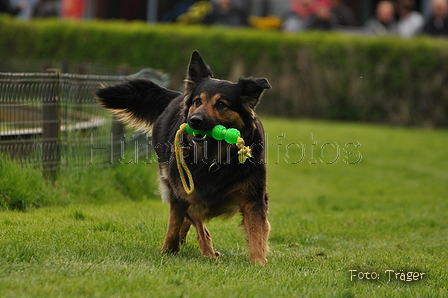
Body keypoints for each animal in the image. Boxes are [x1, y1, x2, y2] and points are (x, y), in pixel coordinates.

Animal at [96, 50, 272, 264]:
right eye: (197, 101)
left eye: (221, 104)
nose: (194, 120)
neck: (213, 158)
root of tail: (178, 95)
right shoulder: (181, 191)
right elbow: (175, 224)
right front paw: (168, 251)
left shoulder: (253, 197)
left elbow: (257, 232)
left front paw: (258, 262)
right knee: (195, 221)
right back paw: (206, 251)